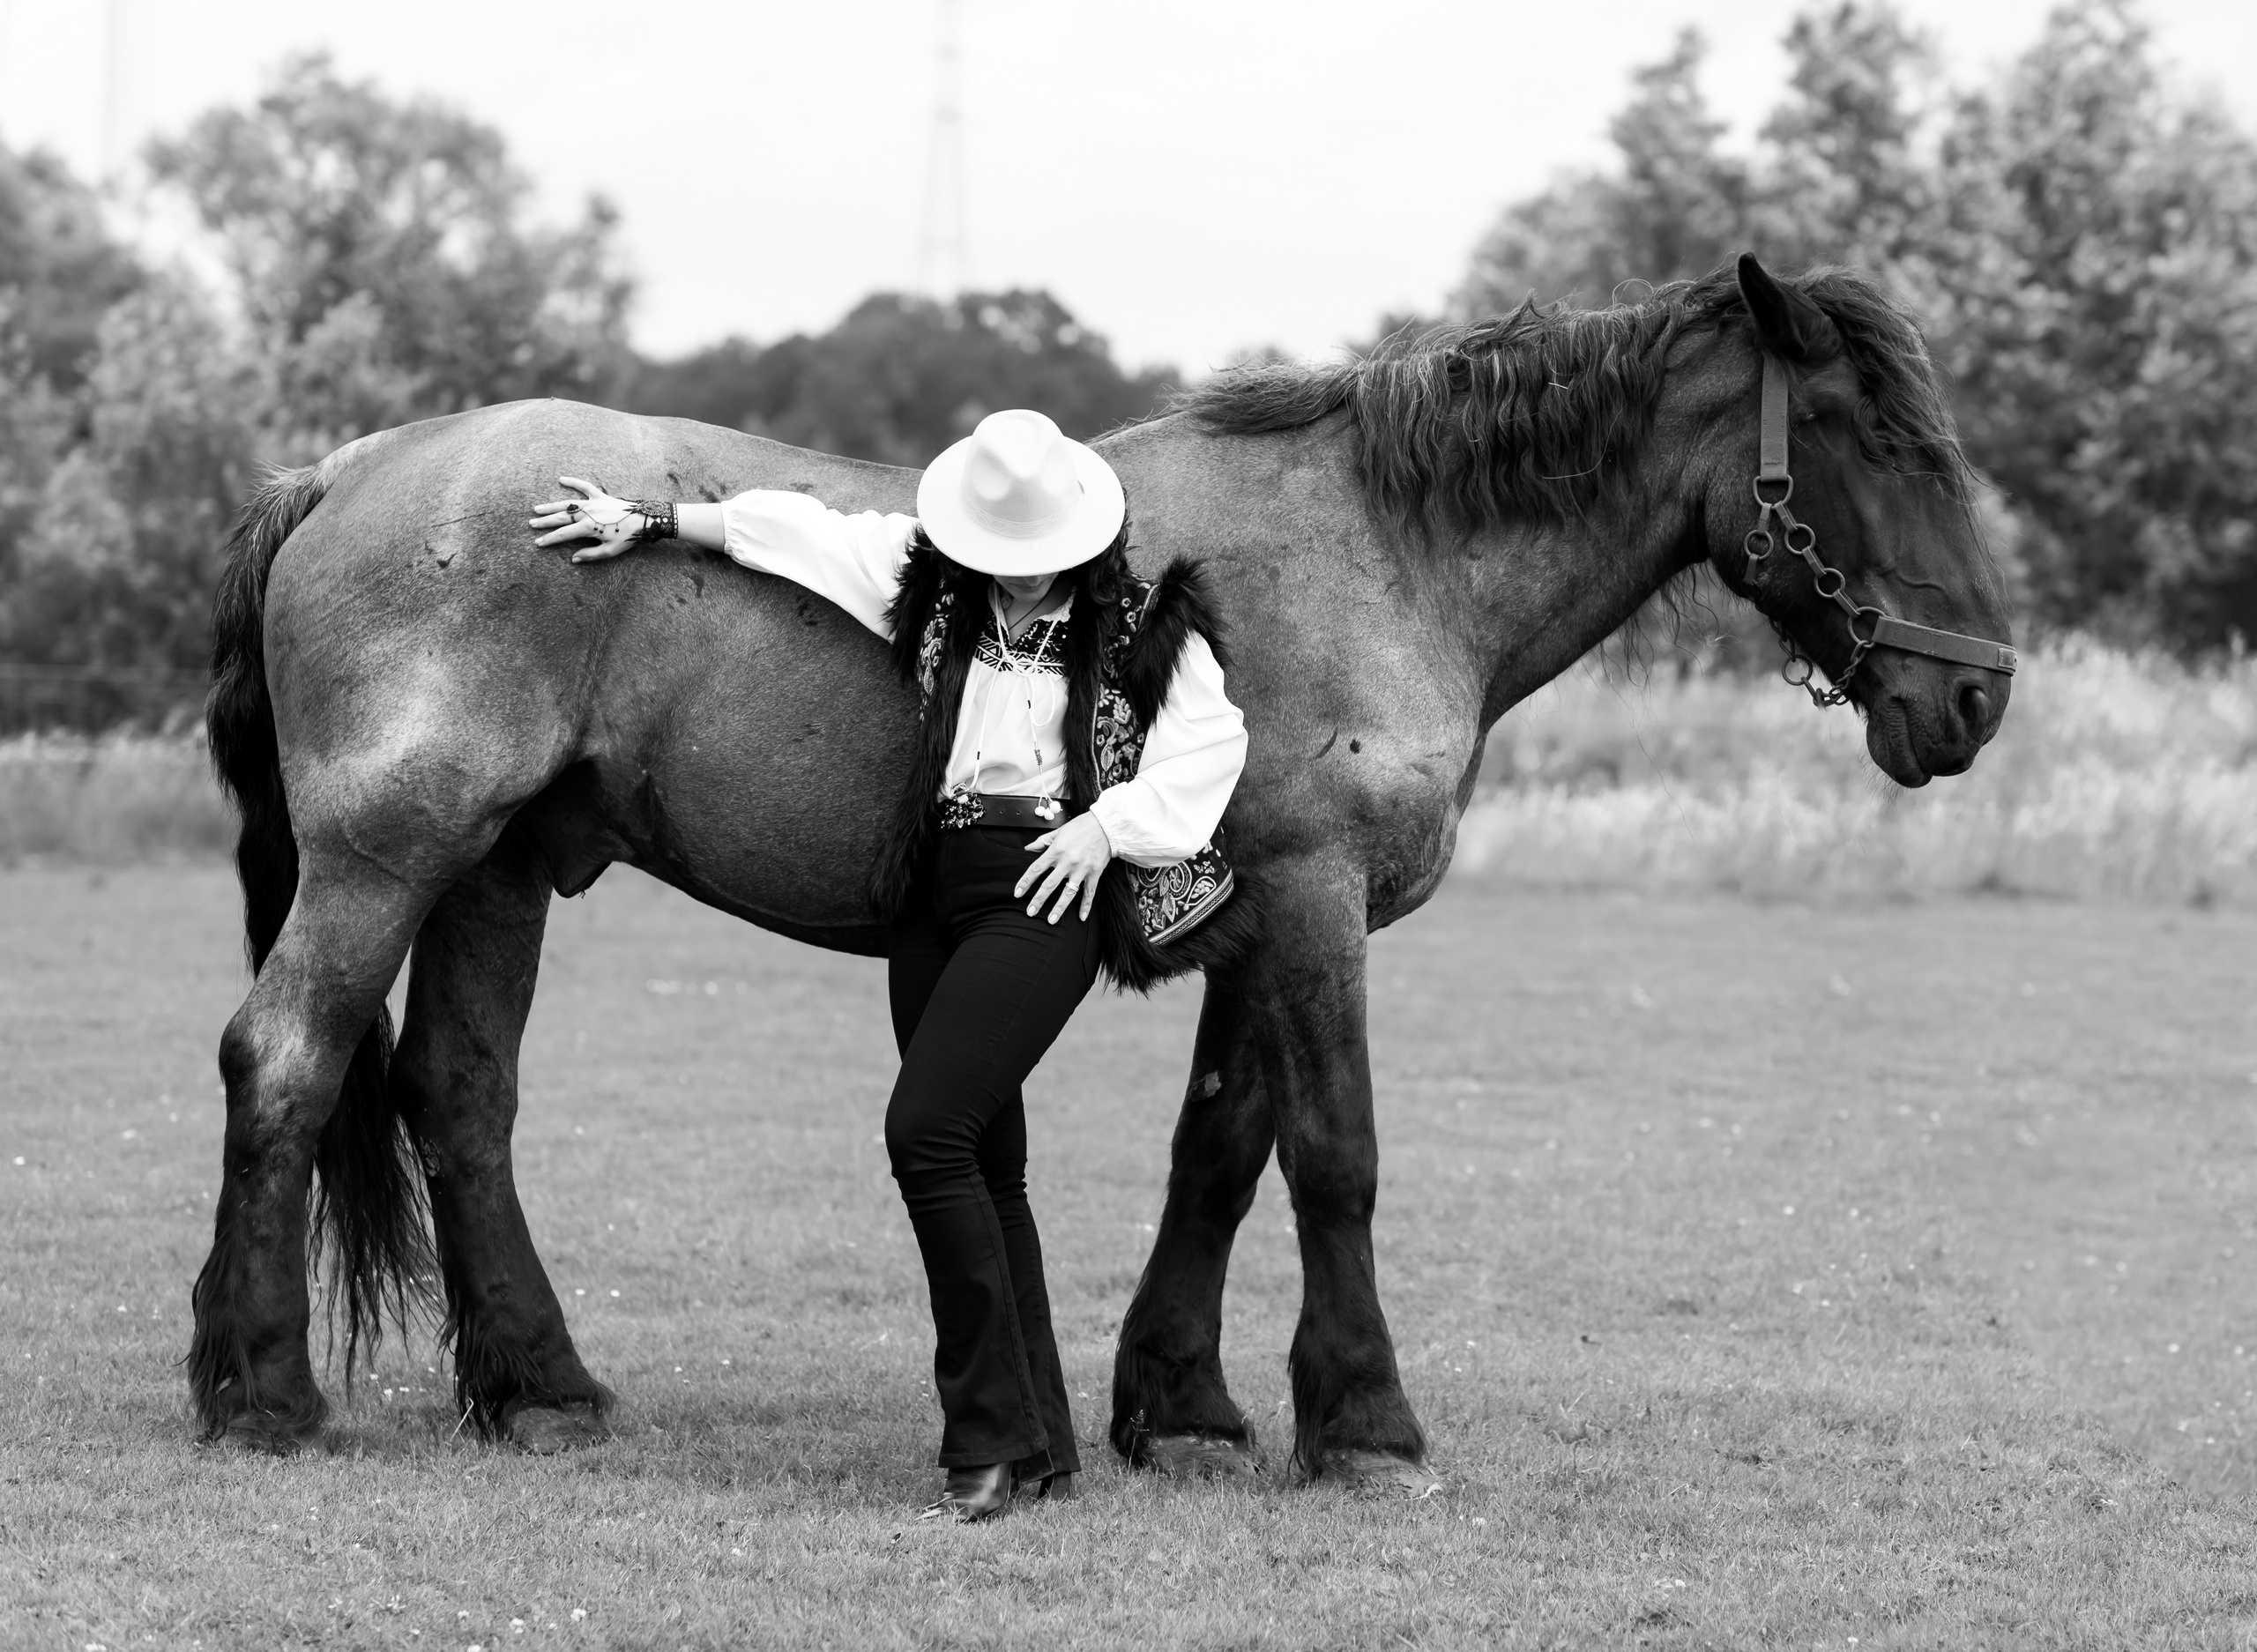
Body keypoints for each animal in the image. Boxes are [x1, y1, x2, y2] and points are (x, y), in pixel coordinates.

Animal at [189, 255, 2013, 1485]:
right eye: (1875, 440)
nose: (1978, 694)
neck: (1379, 552)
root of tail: (349, 469)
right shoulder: (1315, 905)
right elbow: (1335, 1154)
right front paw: (1366, 1422)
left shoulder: (1258, 916)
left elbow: (1221, 1153)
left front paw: (1184, 1405)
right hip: (391, 857)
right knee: (283, 1058)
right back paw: (261, 1391)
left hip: (498, 870)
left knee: (460, 1098)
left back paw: (539, 1386)